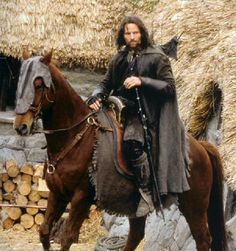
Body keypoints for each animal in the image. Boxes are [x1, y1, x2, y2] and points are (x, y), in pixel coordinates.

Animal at [13, 51, 228, 251]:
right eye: (19, 82)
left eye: (38, 85)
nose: (21, 126)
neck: (74, 137)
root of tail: (201, 147)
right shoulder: (58, 194)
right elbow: (44, 232)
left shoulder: (81, 198)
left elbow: (67, 237)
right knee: (136, 234)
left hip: (194, 205)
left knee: (202, 239)